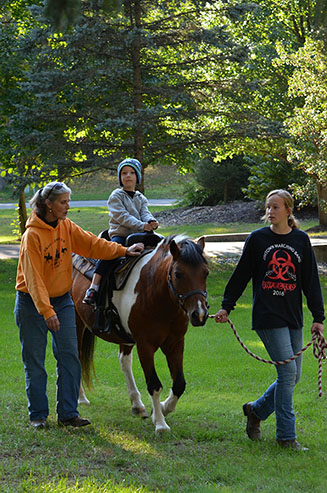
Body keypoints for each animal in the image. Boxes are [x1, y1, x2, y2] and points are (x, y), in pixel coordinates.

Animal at [72, 234, 210, 430]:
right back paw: (81, 397)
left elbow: (179, 383)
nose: (200, 314)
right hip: (76, 322)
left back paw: (137, 405)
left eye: (206, 273)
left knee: (124, 361)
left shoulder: (175, 343)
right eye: (178, 274)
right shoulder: (145, 345)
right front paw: (160, 423)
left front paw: (163, 408)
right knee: (76, 354)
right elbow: (154, 384)